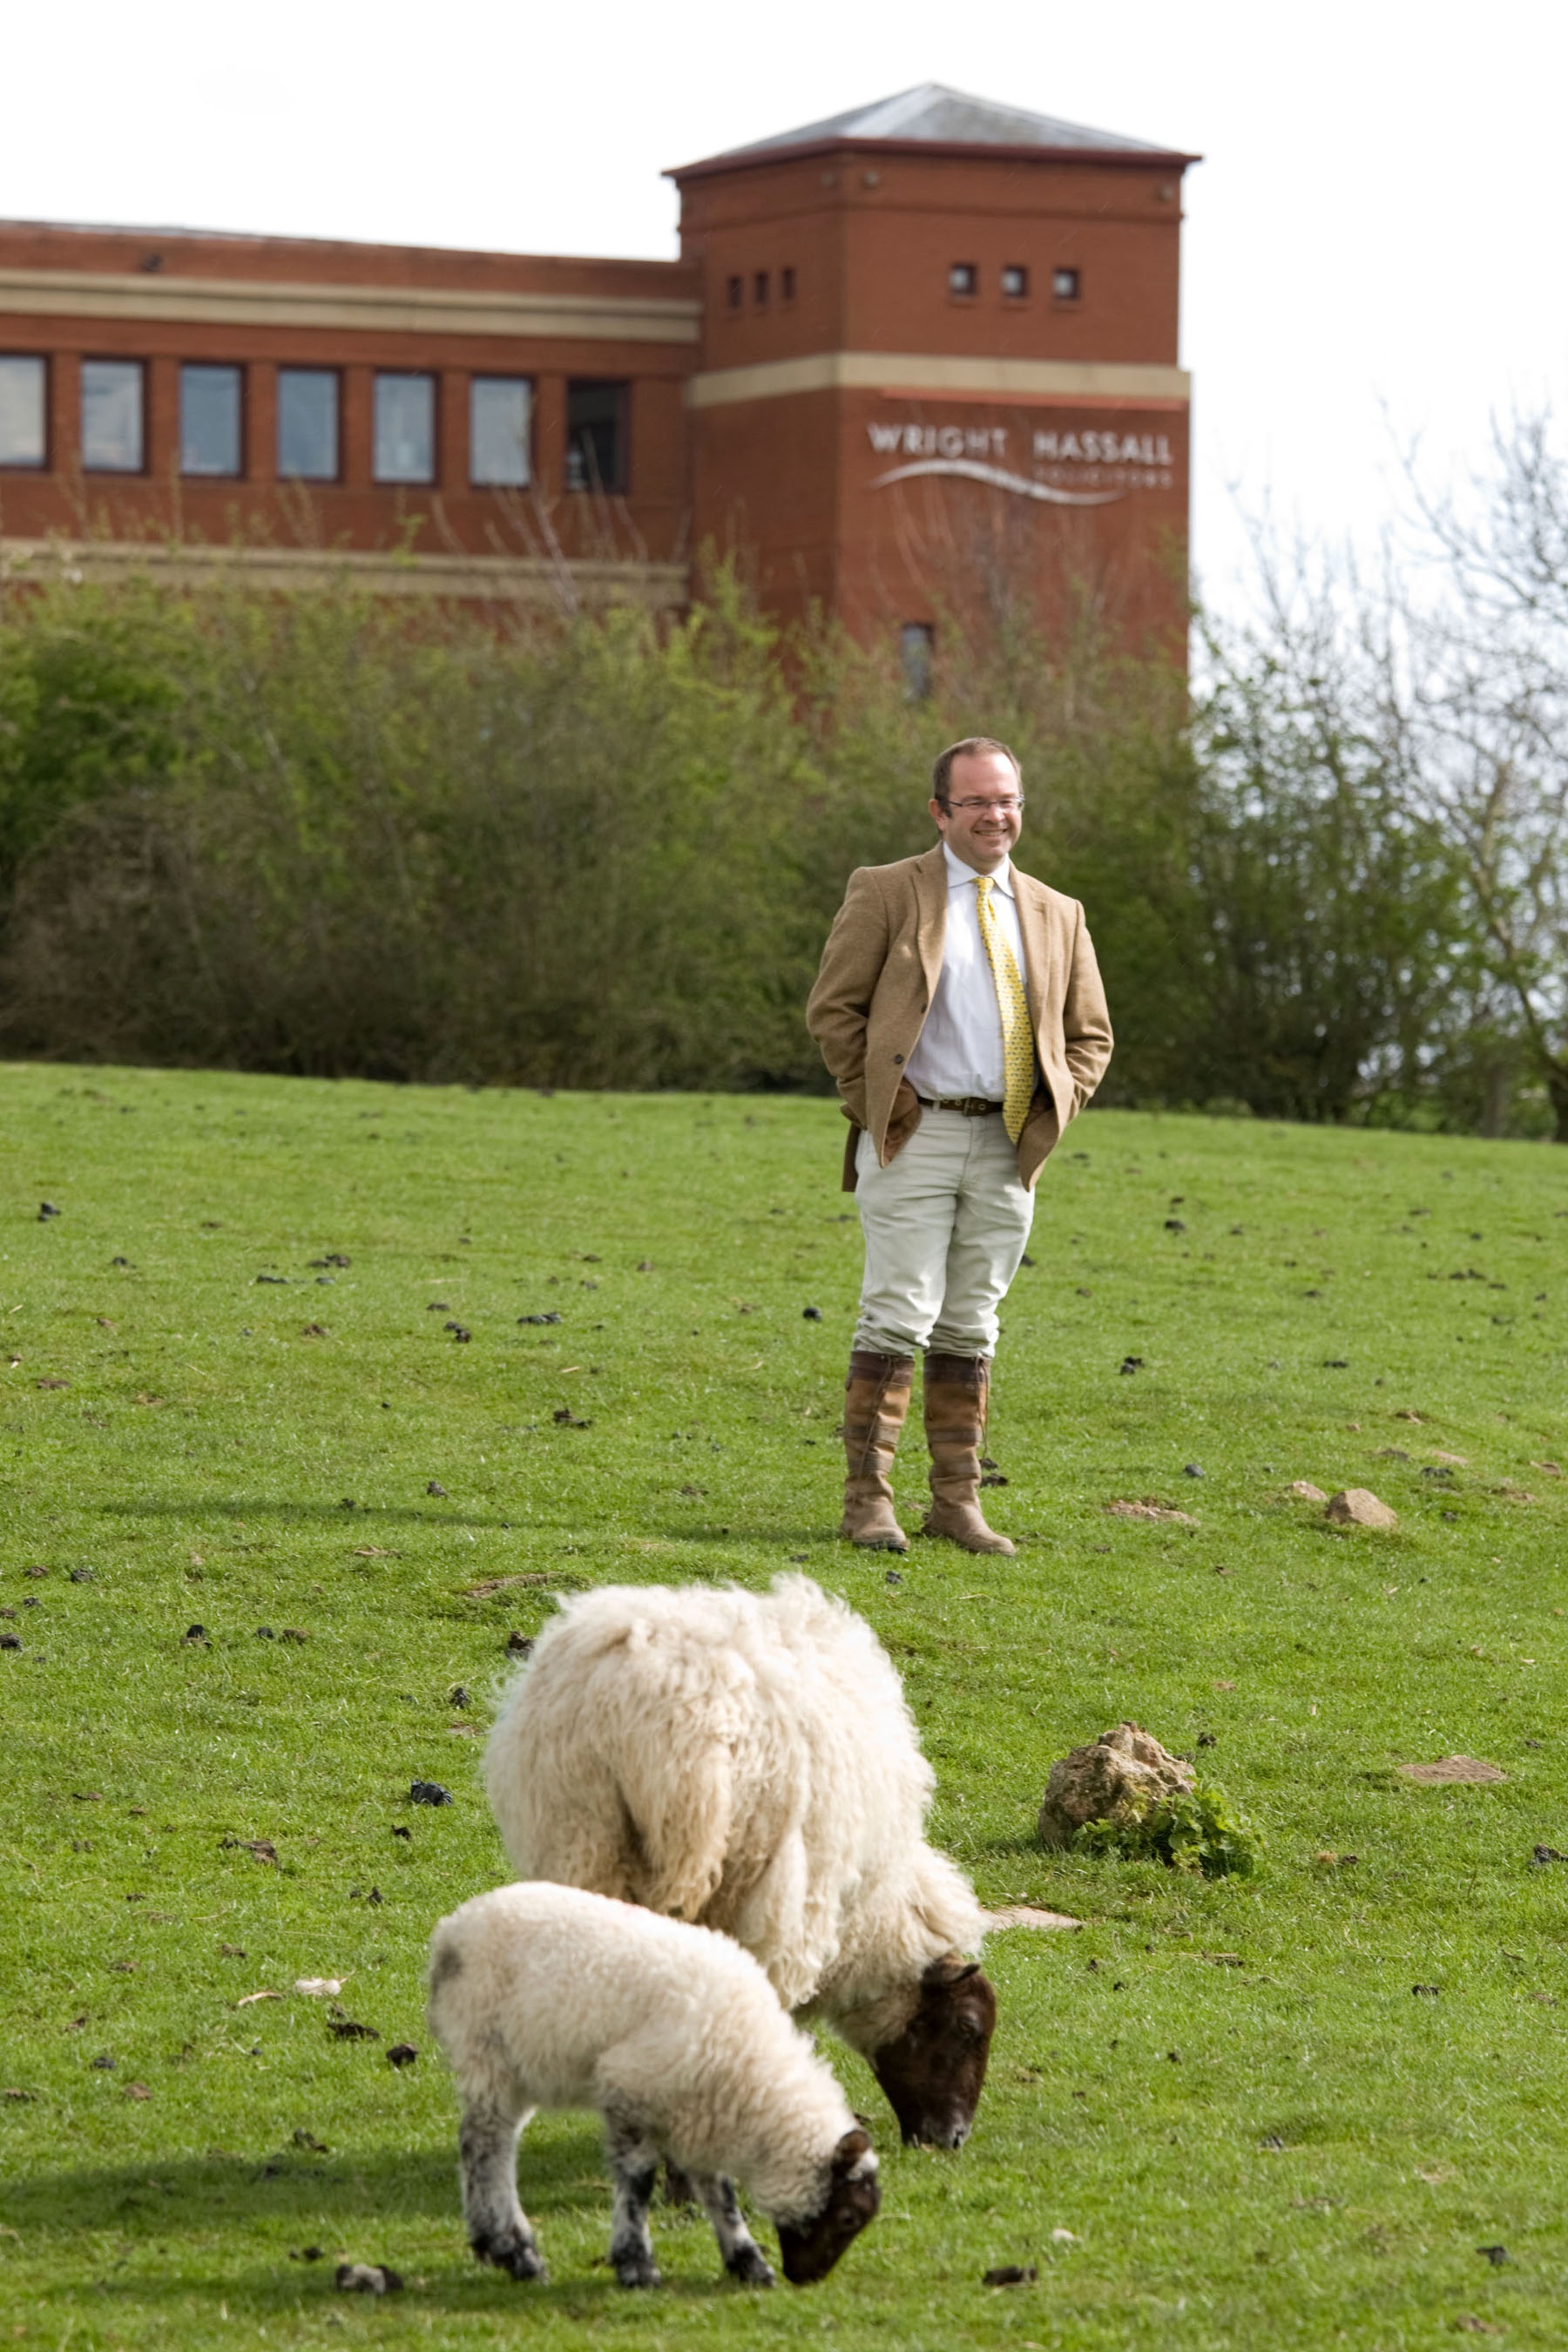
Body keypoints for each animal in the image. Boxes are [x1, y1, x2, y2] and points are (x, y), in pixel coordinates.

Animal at [425, 1882, 883, 2286]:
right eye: (848, 2216)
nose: (806, 2278)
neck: (749, 2065)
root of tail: (451, 1932)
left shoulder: (700, 2111)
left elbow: (719, 2192)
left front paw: (747, 2261)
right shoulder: (630, 2087)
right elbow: (638, 2181)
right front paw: (637, 2265)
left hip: (516, 2065)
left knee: (490, 2141)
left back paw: (494, 2246)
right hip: (488, 2050)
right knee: (486, 2146)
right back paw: (516, 2252)